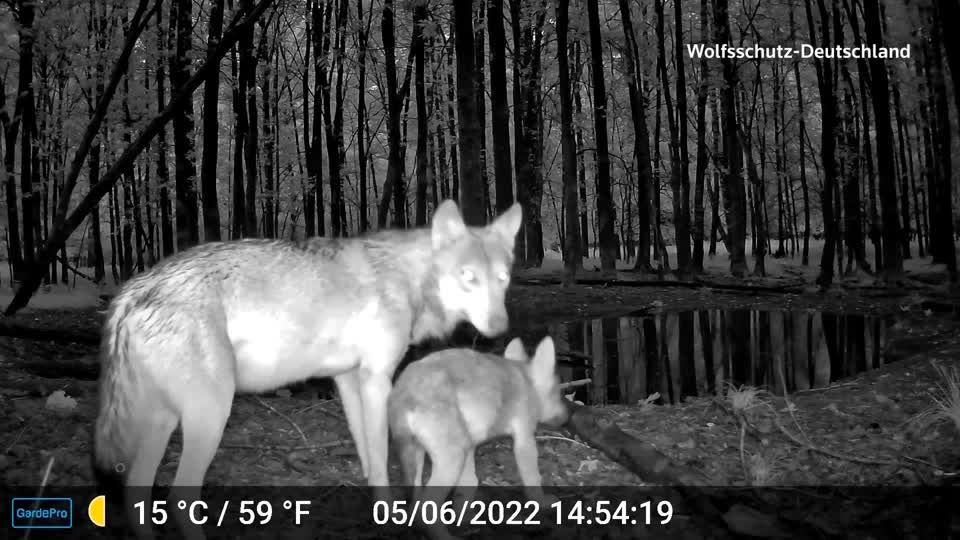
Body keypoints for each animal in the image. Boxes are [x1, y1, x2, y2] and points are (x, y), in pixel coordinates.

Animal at [92, 199, 522, 539]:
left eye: (502, 280)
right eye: (469, 278)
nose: (501, 326)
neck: (409, 279)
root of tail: (133, 290)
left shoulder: (348, 380)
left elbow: (368, 454)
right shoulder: (377, 380)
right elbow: (381, 454)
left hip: (164, 421)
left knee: (136, 491)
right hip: (211, 415)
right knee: (178, 495)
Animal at [387, 336, 569, 539]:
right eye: (558, 393)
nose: (567, 417)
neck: (527, 381)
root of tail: (406, 394)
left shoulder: (470, 446)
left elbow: (468, 484)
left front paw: (465, 517)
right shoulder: (525, 439)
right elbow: (532, 478)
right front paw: (543, 502)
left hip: (417, 454)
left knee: (414, 504)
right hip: (450, 459)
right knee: (426, 509)